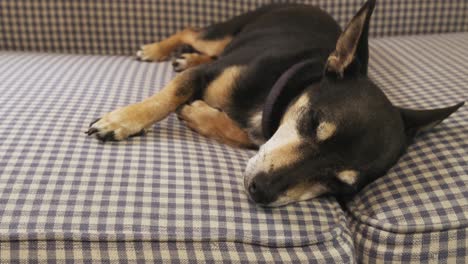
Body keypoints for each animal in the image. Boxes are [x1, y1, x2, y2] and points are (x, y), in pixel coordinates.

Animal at [85, 0, 464, 206]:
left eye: (341, 185)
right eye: (312, 122)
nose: (260, 192)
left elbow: (247, 137)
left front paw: (201, 116)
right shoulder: (207, 76)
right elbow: (171, 95)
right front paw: (122, 121)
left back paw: (186, 58)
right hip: (226, 33)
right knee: (192, 30)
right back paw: (156, 49)